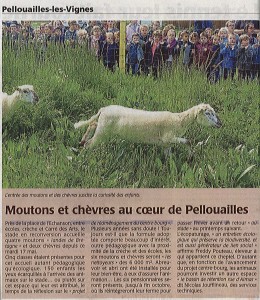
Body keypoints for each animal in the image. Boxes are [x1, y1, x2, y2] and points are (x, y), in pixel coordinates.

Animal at [73, 103, 221, 149]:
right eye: (208, 113)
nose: (220, 123)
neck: (179, 120)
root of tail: (103, 109)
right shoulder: (168, 137)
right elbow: (189, 141)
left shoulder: (166, 143)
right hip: (102, 133)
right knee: (91, 142)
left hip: (102, 126)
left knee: (92, 123)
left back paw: (82, 141)